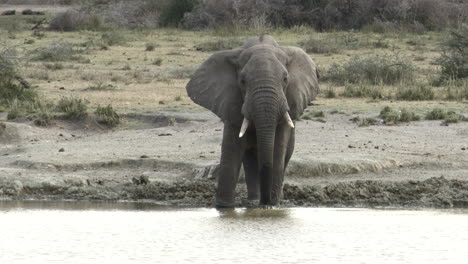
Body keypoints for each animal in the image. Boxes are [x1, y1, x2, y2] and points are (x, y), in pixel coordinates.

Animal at [185, 35, 320, 207]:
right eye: (242, 81)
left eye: (285, 79)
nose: (266, 202)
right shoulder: (231, 102)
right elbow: (232, 148)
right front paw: (224, 207)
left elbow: (278, 148)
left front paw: (273, 205)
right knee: (249, 159)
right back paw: (254, 199)